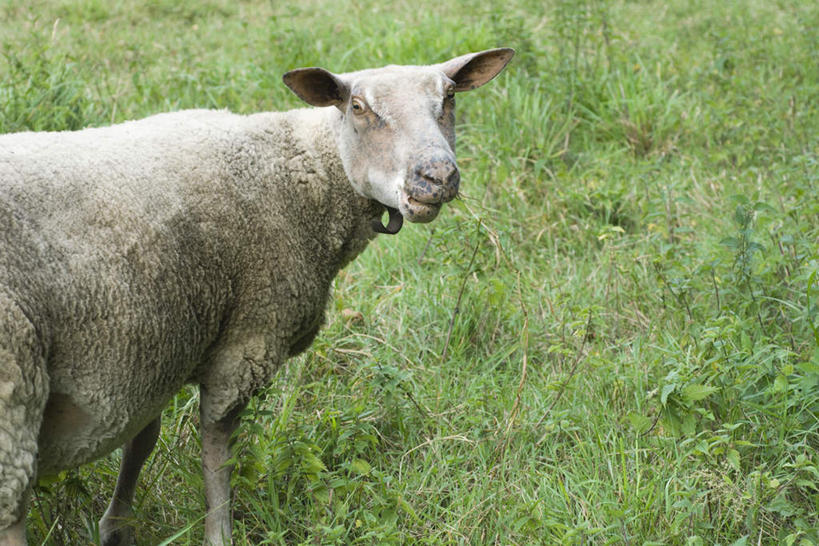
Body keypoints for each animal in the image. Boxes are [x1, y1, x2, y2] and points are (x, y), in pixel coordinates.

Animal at [0, 47, 512, 544]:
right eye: (358, 107)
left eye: (449, 98)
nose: (436, 176)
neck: (303, 172)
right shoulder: (248, 337)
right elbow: (217, 448)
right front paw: (218, 532)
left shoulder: (158, 348)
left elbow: (142, 439)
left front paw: (117, 527)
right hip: (13, 390)